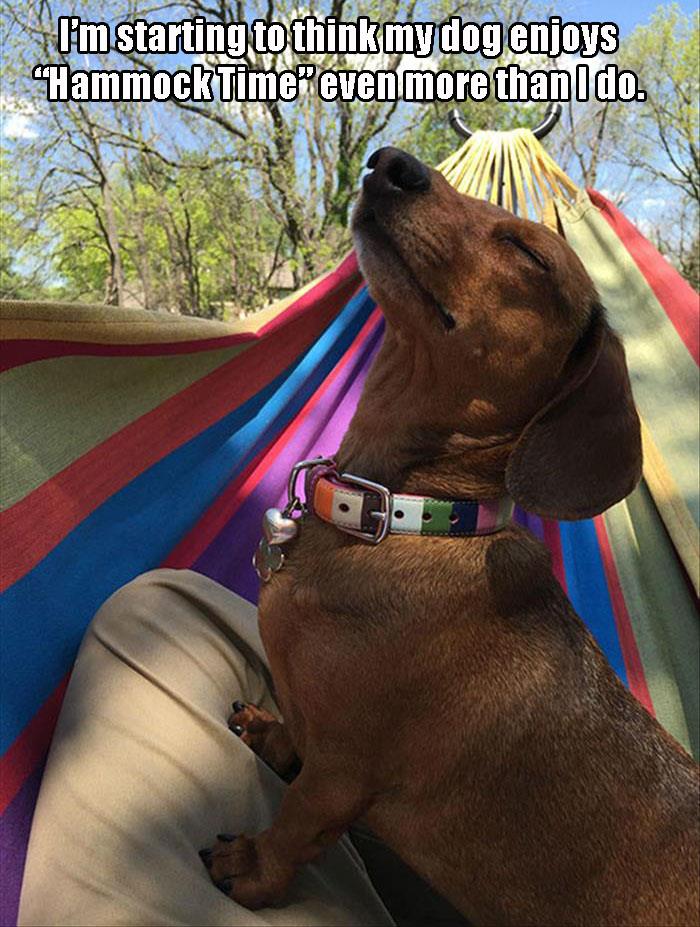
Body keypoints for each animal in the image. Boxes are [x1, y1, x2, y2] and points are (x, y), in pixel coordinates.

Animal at [202, 149, 700, 924]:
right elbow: (293, 732)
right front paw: (270, 732)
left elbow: (297, 820)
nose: (391, 162)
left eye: (530, 252)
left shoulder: (343, 772)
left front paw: (254, 868)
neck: (402, 517)